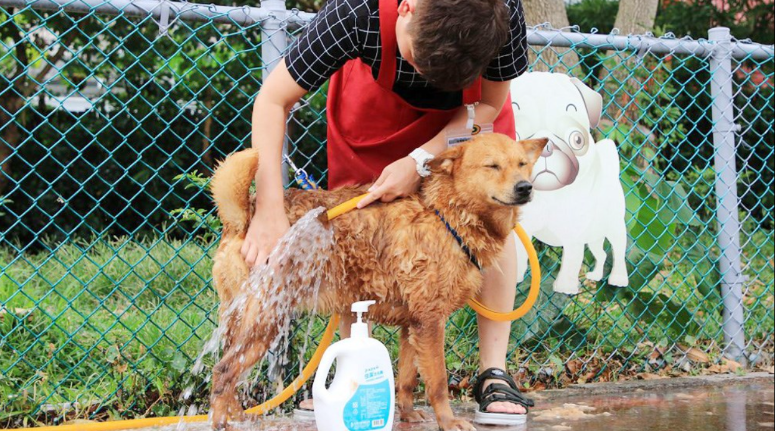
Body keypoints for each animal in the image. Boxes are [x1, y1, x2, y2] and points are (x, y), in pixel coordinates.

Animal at [206, 133, 544, 430]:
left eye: (521, 164)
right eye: (492, 165)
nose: (525, 187)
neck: (447, 214)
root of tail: (243, 217)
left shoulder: (413, 325)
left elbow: (407, 378)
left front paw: (406, 413)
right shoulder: (431, 322)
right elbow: (437, 382)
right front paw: (448, 421)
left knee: (226, 374)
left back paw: (238, 416)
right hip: (265, 321)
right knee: (223, 372)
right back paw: (223, 423)